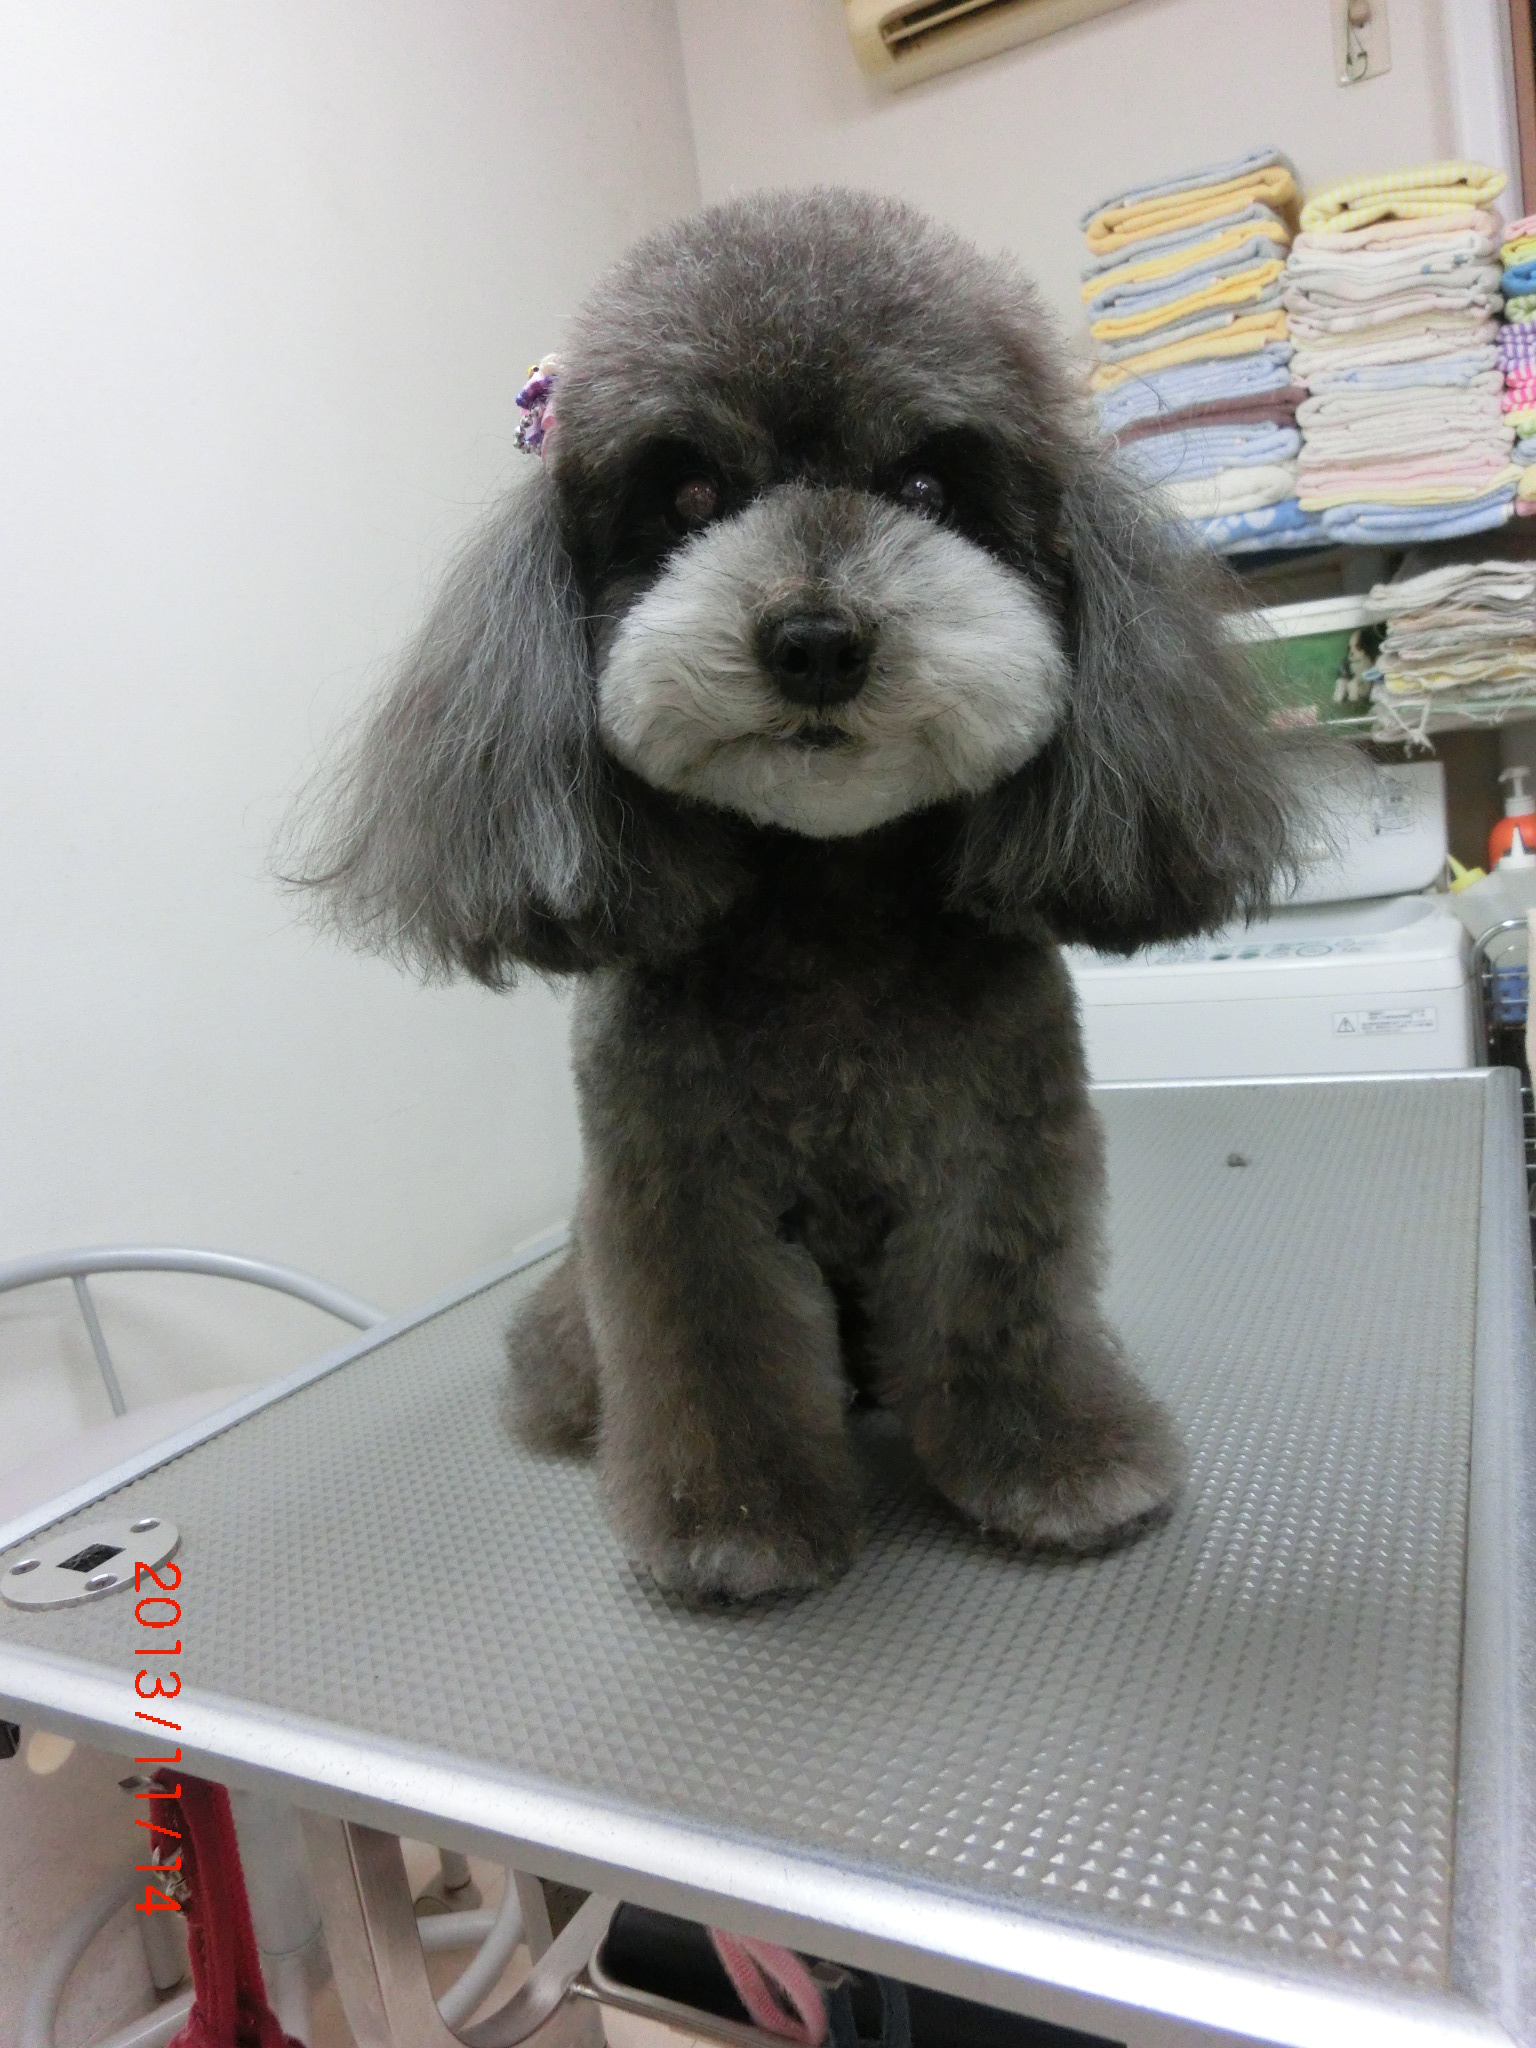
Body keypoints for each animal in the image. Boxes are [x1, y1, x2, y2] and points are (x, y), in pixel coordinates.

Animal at [295, 189, 1295, 1603]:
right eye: (689, 491)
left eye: (928, 485)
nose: (816, 640)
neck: (828, 910)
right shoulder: (674, 1188)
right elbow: (716, 1351)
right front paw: (739, 1523)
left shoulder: (1000, 1156)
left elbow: (1001, 1314)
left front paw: (1055, 1465)